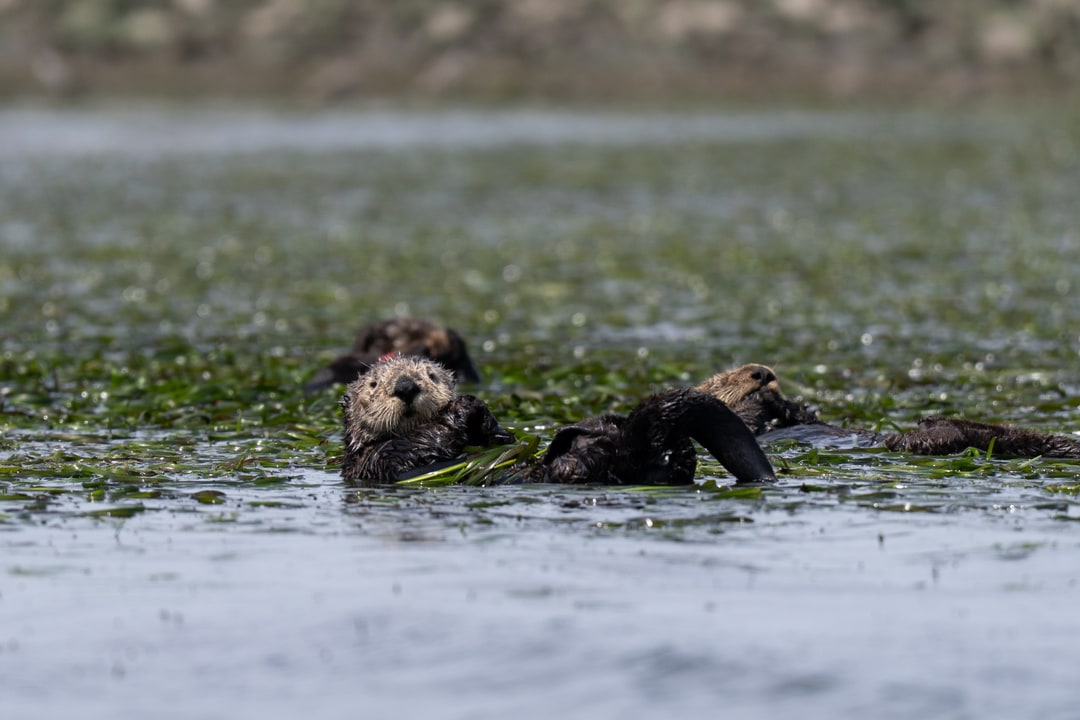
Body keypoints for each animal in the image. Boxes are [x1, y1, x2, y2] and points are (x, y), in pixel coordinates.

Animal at [341, 355, 777, 486]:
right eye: (376, 383)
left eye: (430, 375)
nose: (406, 386)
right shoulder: (380, 460)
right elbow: (424, 444)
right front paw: (466, 408)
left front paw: (493, 427)